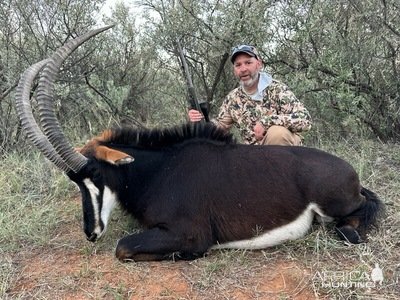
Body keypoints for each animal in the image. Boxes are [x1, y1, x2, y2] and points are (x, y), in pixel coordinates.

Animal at [15, 27, 384, 262]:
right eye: (75, 182)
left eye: (96, 175)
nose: (91, 233)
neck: (158, 170)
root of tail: (351, 172)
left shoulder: (189, 232)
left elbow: (123, 247)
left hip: (335, 208)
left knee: (355, 220)